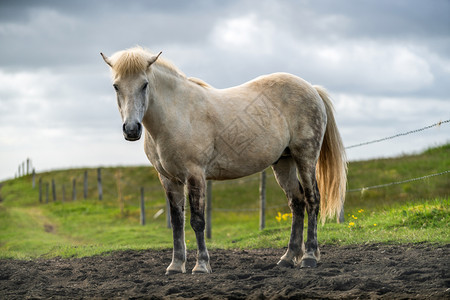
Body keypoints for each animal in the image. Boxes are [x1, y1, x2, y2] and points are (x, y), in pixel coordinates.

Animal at [101, 46, 348, 274]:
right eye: (116, 86)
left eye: (144, 84)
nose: (131, 129)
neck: (177, 115)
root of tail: (311, 89)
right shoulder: (169, 179)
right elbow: (177, 222)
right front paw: (176, 265)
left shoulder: (195, 175)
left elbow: (197, 221)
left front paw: (201, 266)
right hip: (283, 162)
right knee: (297, 203)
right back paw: (287, 258)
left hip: (305, 157)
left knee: (312, 200)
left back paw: (309, 257)